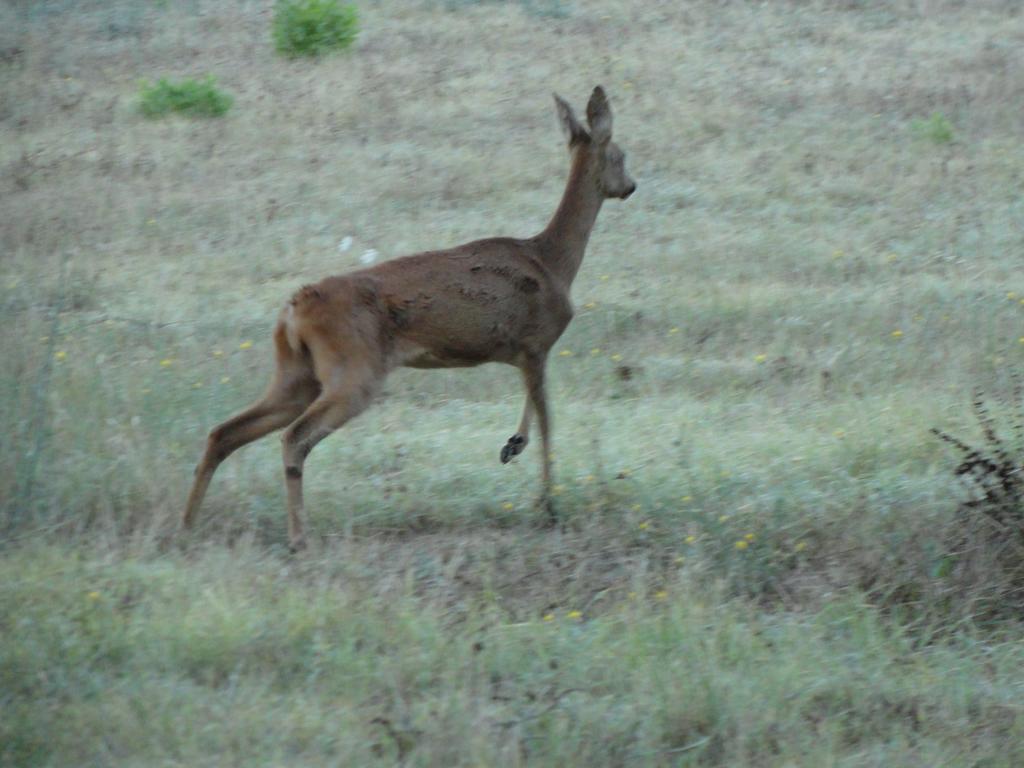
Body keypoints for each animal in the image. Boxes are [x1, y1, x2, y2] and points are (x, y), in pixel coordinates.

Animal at [181, 87, 634, 548]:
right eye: (620, 155)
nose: (630, 186)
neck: (553, 262)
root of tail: (293, 309)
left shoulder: (521, 353)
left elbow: (532, 413)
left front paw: (512, 446)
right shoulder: (536, 342)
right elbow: (547, 422)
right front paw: (548, 504)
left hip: (296, 373)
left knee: (223, 432)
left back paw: (186, 528)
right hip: (354, 370)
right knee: (293, 437)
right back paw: (297, 537)